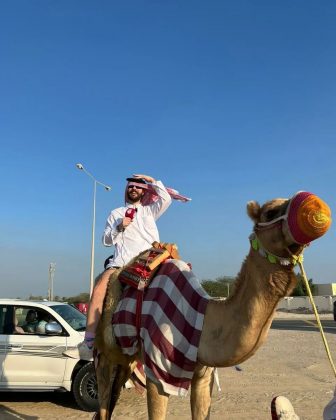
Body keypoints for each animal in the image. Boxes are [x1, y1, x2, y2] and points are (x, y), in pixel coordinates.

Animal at [94, 195, 328, 418]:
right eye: (270, 212)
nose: (316, 206)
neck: (201, 318)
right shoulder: (159, 372)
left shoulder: (204, 375)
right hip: (105, 353)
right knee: (104, 402)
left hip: (128, 358)